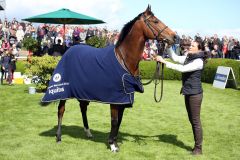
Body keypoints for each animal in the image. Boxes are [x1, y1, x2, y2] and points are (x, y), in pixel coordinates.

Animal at [41, 5, 176, 152]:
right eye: (155, 21)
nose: (174, 36)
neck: (124, 59)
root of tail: (68, 50)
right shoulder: (115, 99)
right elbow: (114, 121)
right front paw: (112, 145)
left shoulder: (124, 98)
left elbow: (120, 121)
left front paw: (115, 142)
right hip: (64, 91)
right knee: (61, 110)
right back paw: (59, 137)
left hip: (83, 91)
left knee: (83, 108)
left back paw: (88, 132)